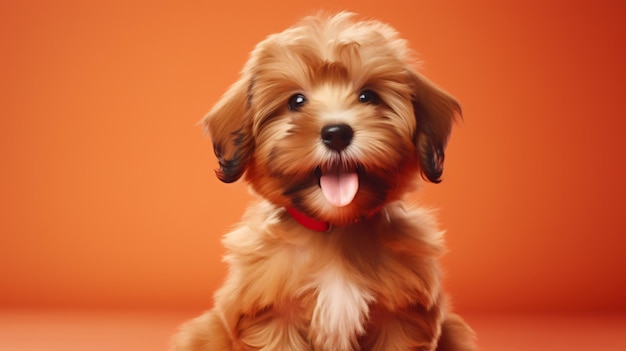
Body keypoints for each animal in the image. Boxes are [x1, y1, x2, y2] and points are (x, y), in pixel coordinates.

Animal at [173, 11, 476, 351]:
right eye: (296, 101)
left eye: (368, 96)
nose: (337, 133)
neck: (336, 231)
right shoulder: (273, 318)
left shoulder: (402, 319)